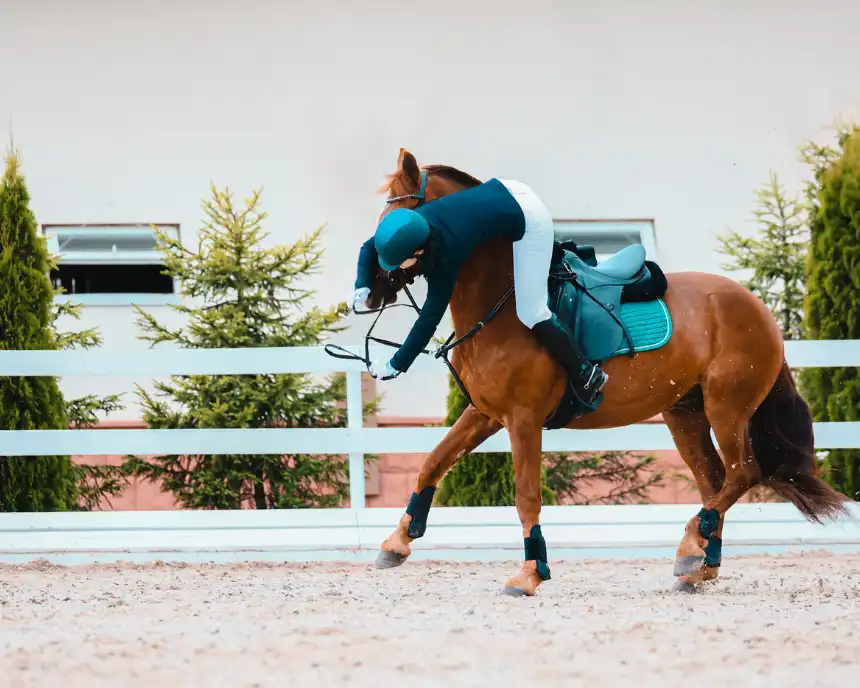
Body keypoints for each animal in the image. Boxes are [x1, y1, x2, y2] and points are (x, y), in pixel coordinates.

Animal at [354, 146, 848, 596]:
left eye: (393, 221)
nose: (370, 291)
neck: (500, 304)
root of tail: (758, 308)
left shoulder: (523, 419)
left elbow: (526, 495)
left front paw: (530, 573)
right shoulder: (487, 413)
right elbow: (433, 463)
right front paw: (397, 542)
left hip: (728, 407)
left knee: (743, 473)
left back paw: (690, 547)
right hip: (685, 414)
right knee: (714, 481)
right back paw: (699, 564)